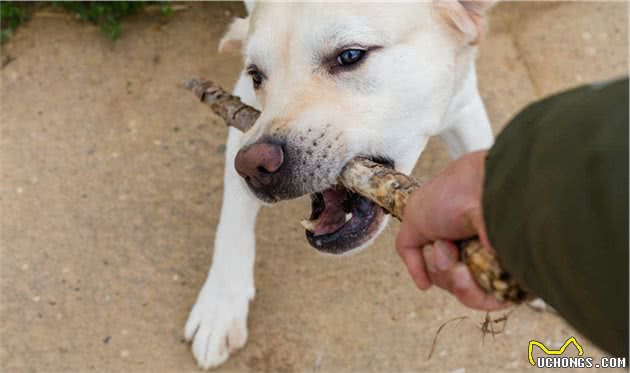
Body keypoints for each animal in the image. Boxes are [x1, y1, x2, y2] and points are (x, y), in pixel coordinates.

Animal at [185, 0, 496, 366]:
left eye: (350, 56)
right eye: (257, 75)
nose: (253, 166)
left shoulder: (463, 102)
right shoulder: (243, 110)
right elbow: (232, 219)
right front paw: (220, 304)